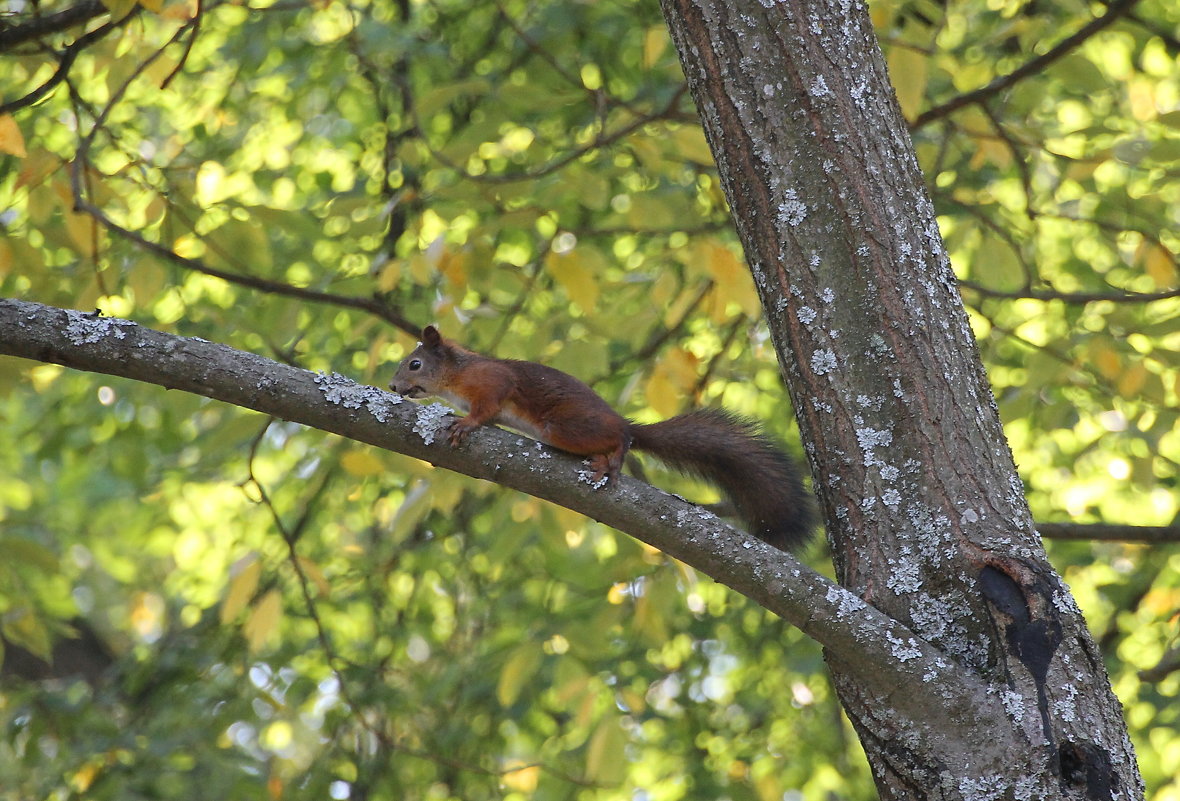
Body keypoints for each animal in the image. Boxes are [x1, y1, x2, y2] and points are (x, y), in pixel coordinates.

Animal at [391, 325, 816, 552]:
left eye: (415, 364)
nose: (393, 386)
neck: (456, 376)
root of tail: (626, 424)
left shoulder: (493, 381)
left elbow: (487, 407)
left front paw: (466, 423)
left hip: (567, 426)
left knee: (619, 438)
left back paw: (612, 458)